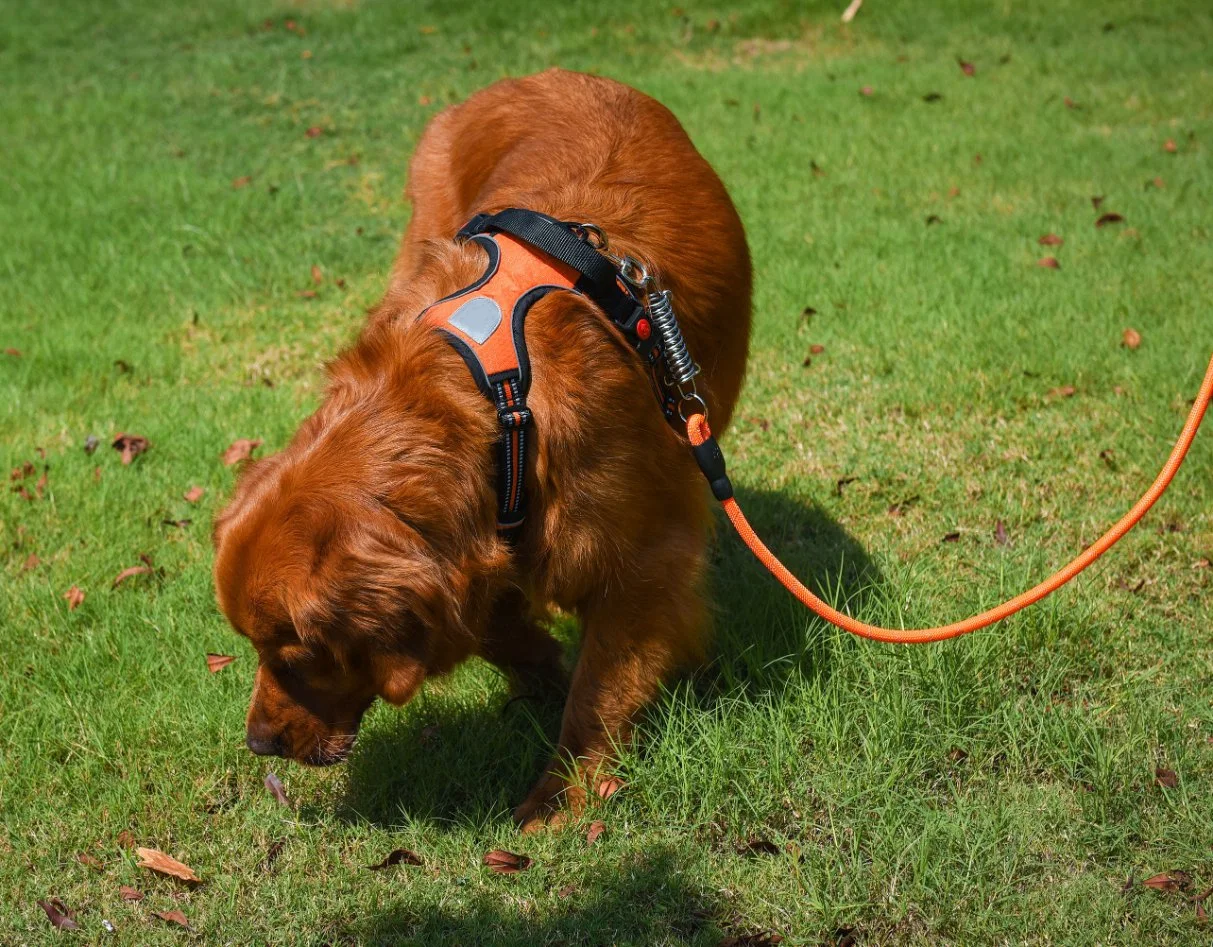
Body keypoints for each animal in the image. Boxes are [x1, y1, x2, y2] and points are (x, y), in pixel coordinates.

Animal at [213, 70, 752, 829]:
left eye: (296, 652)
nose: (258, 743)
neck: (491, 392)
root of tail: (546, 74)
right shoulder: (484, 536)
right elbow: (492, 622)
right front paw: (542, 669)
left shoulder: (645, 555)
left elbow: (600, 686)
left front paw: (562, 792)